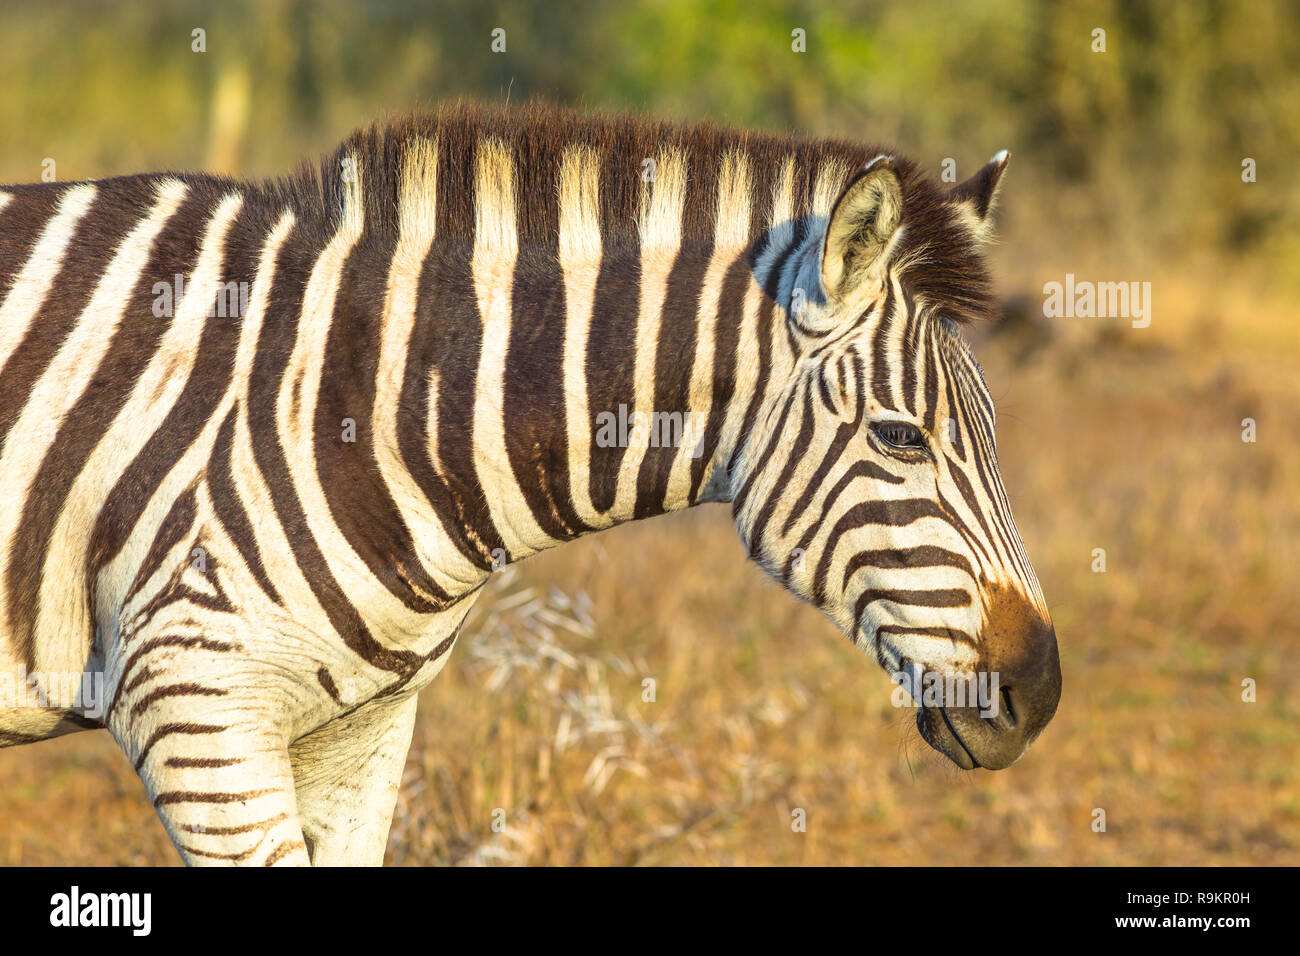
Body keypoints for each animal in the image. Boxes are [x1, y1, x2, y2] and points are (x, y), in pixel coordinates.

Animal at [0, 103, 1060, 866]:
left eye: (995, 430)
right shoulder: (194, 714)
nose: (1039, 695)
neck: (368, 406)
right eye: (900, 438)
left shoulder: (360, 728)